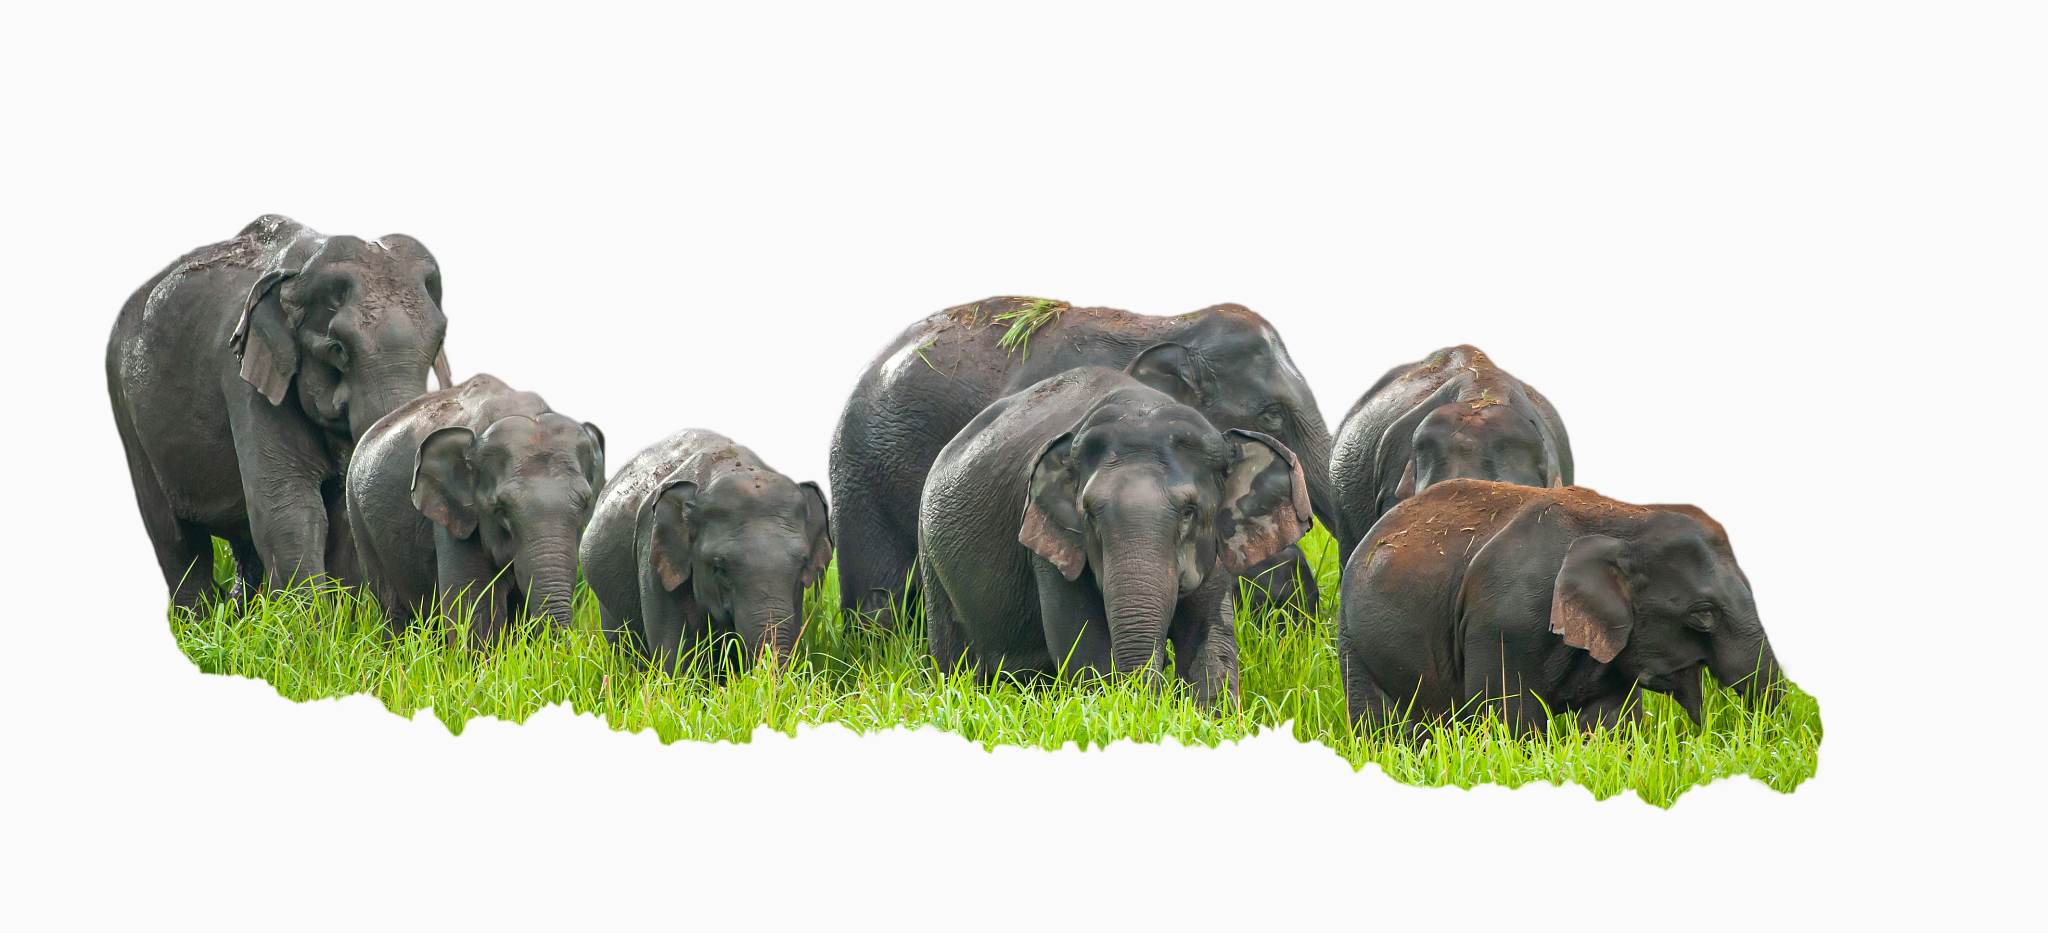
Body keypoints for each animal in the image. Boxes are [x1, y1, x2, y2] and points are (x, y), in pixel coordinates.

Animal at [107, 215, 452, 609]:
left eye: (438, 343)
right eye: (337, 348)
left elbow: (339, 517)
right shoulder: (244, 376)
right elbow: (285, 508)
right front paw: (310, 625)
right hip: (127, 412)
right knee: (176, 538)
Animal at [344, 374, 603, 644]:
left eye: (585, 504)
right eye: (501, 510)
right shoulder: (455, 518)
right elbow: (472, 610)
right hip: (359, 520)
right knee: (394, 612)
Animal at [919, 367, 1312, 707]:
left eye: (1189, 511)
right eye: (1089, 513)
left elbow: (1209, 641)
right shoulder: (1052, 549)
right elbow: (1085, 648)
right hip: (931, 563)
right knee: (954, 656)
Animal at [1338, 479, 1786, 735]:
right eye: (1703, 614)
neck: (1628, 518)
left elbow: (1609, 723)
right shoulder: (1504, 620)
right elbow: (1511, 720)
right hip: (1353, 633)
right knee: (1378, 723)